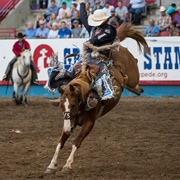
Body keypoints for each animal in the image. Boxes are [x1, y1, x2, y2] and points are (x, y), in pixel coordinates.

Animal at [44, 23, 149, 175]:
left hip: (133, 74)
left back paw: (137, 87)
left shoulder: (89, 123)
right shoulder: (69, 121)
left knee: (133, 75)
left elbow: (76, 142)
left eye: (73, 105)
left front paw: (67, 165)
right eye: (62, 106)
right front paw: (51, 165)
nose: (69, 129)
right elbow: (60, 142)